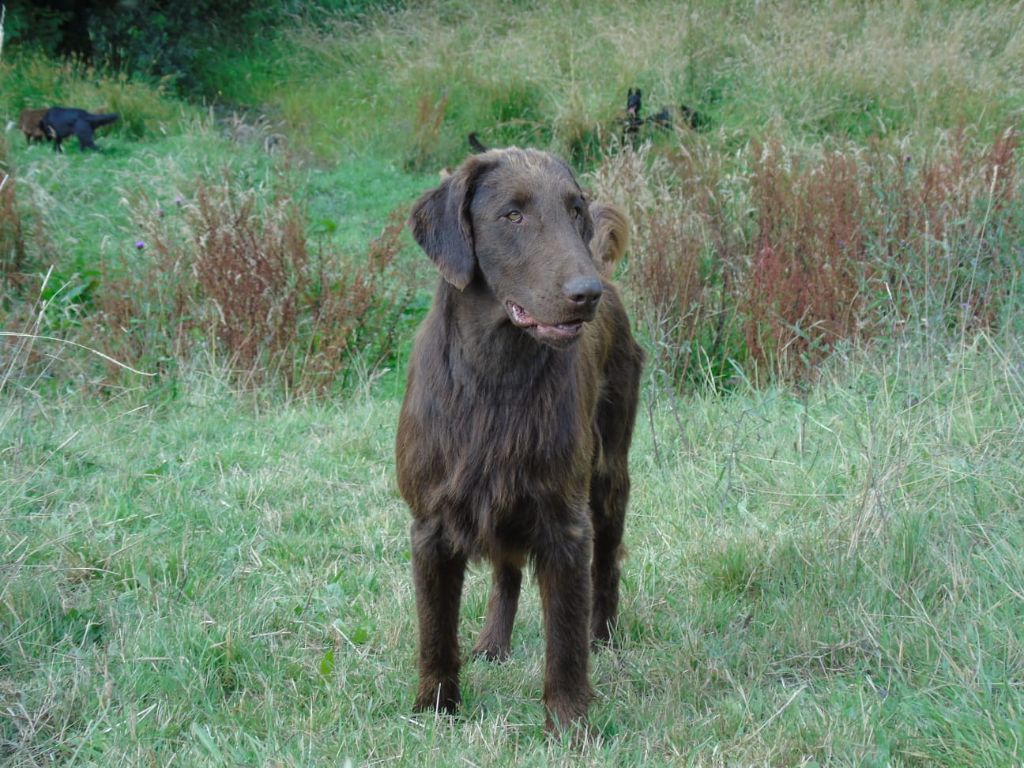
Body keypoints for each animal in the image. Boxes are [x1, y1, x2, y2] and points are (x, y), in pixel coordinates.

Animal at [397, 147, 643, 737]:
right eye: (512, 216)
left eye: (574, 211)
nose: (585, 295)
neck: (494, 378)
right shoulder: (431, 524)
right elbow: (435, 631)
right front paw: (435, 707)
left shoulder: (564, 522)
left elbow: (565, 640)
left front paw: (570, 723)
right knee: (505, 572)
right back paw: (493, 643)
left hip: (609, 477)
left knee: (607, 565)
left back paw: (605, 635)